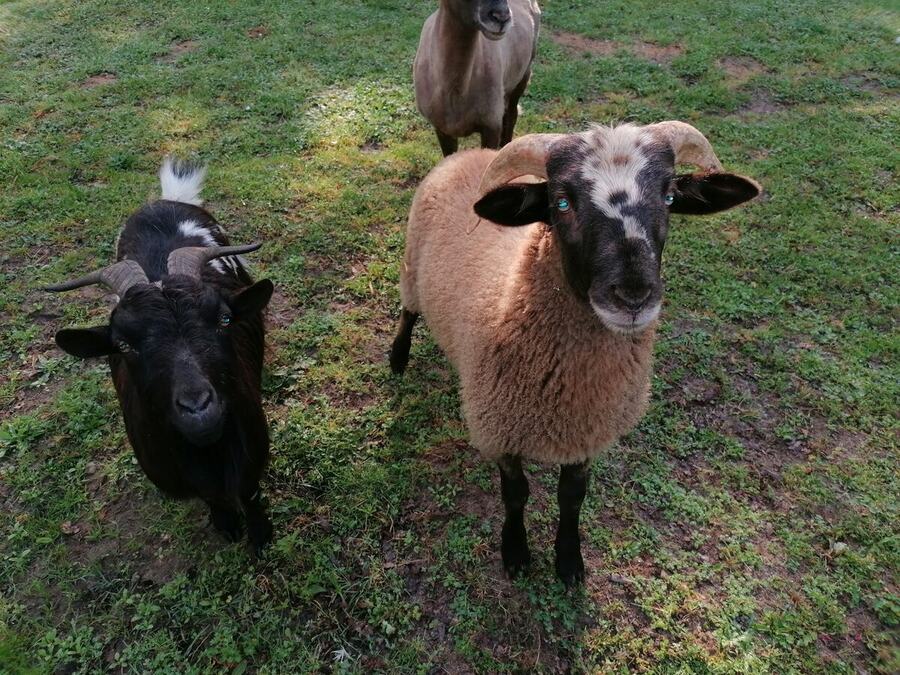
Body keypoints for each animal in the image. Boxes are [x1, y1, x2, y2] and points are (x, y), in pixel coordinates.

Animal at [45, 159, 275, 553]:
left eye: (224, 320)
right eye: (124, 345)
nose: (198, 407)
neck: (208, 454)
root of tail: (165, 201)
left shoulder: (251, 451)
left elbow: (249, 492)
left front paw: (260, 538)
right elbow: (213, 499)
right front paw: (227, 526)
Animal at [390, 122, 761, 585]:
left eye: (670, 197)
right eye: (561, 203)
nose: (633, 296)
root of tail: (468, 155)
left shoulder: (586, 432)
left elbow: (572, 498)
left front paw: (569, 561)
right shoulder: (499, 429)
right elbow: (516, 495)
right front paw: (516, 552)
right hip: (411, 266)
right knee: (407, 311)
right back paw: (397, 358)